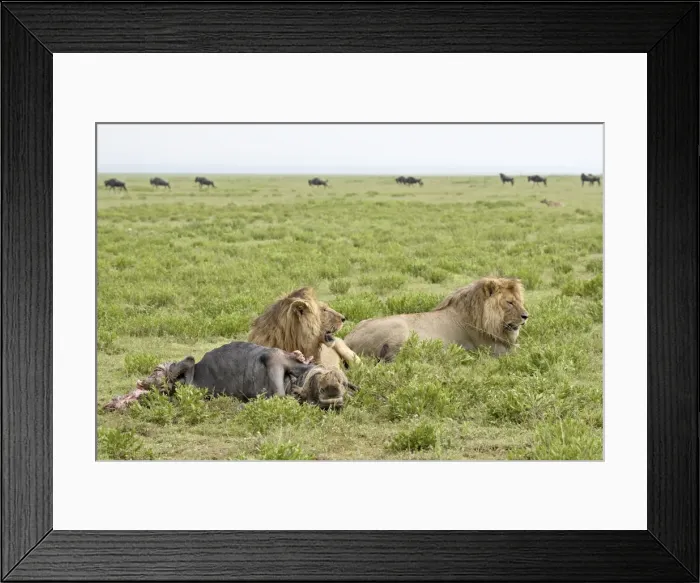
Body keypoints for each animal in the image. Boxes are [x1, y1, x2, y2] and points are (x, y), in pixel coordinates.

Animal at [343, 276, 528, 361]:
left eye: (519, 301)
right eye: (509, 302)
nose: (526, 316)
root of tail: (348, 339)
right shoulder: (492, 349)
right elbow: (521, 350)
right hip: (399, 329)